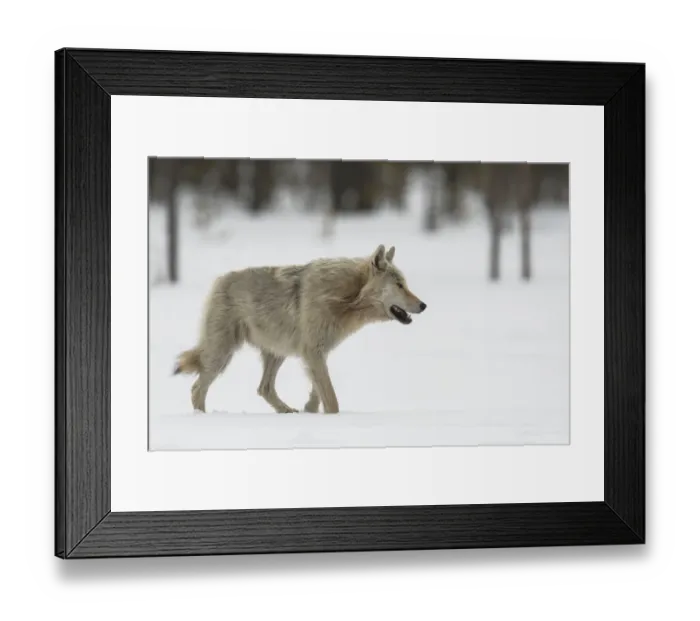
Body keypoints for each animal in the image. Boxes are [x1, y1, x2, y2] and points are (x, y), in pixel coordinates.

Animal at [173, 244, 427, 414]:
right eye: (399, 285)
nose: (424, 305)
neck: (345, 296)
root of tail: (219, 280)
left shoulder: (316, 353)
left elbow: (318, 393)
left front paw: (309, 412)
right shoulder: (313, 352)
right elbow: (332, 400)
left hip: (276, 352)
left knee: (264, 388)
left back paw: (287, 411)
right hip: (223, 354)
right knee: (197, 388)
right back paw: (203, 418)